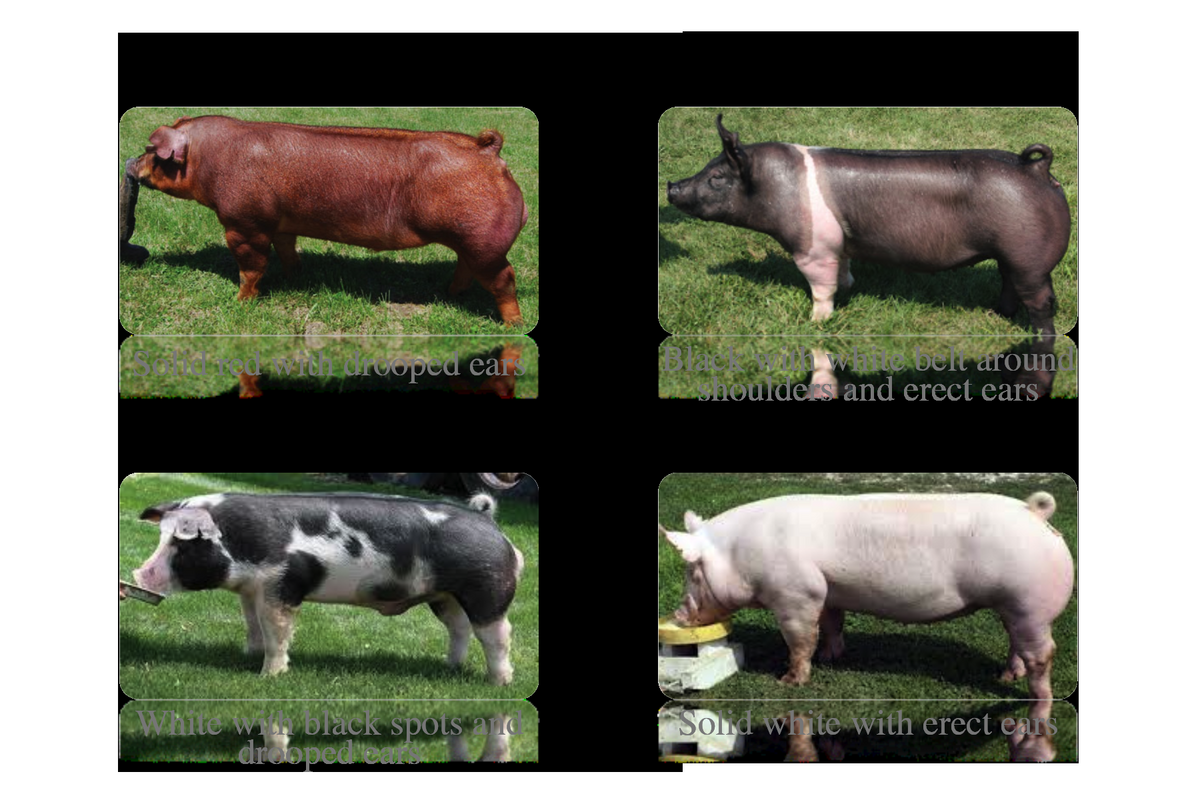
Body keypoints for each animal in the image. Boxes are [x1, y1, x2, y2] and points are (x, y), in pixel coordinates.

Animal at [120, 115, 529, 324]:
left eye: (151, 151)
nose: (130, 162)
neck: (210, 158)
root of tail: (489, 151)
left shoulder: (244, 223)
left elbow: (251, 267)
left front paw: (240, 302)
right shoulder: (281, 223)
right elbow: (287, 250)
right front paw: (296, 276)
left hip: (485, 241)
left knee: (504, 279)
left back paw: (513, 326)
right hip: (471, 242)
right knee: (465, 268)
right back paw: (449, 293)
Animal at [133, 492, 524, 685]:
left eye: (183, 544)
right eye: (163, 537)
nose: (138, 573)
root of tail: (493, 527)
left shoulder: (281, 585)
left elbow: (276, 632)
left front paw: (268, 677)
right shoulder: (251, 590)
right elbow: (252, 624)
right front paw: (246, 656)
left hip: (487, 589)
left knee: (499, 634)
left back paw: (499, 682)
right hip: (445, 597)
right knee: (459, 628)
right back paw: (451, 667)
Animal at [660, 492, 1074, 700]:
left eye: (692, 572)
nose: (677, 617)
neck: (740, 554)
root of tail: (1035, 513)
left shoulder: (795, 592)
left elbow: (799, 638)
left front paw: (789, 682)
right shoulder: (827, 590)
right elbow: (831, 625)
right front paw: (831, 658)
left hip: (1030, 603)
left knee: (1043, 653)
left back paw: (1035, 697)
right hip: (1014, 607)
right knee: (1016, 643)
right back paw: (1005, 676)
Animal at [666, 116, 1071, 336]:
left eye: (717, 177)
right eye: (708, 166)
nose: (671, 186)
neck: (773, 187)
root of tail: (1037, 167)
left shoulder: (812, 248)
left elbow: (821, 288)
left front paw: (815, 323)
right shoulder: (838, 242)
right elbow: (844, 268)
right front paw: (849, 286)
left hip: (1029, 255)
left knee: (1040, 299)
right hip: (1011, 256)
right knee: (1009, 284)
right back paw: (995, 314)